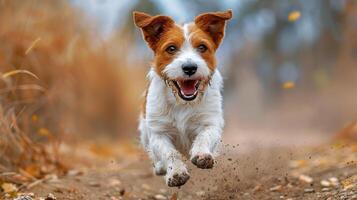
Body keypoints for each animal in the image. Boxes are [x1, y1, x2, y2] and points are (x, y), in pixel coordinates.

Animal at [133, 9, 231, 188]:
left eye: (202, 47)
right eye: (171, 48)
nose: (190, 67)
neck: (182, 102)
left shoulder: (210, 122)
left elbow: (204, 137)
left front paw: (202, 155)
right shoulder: (159, 133)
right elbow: (170, 152)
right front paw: (176, 172)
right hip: (145, 132)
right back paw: (160, 167)